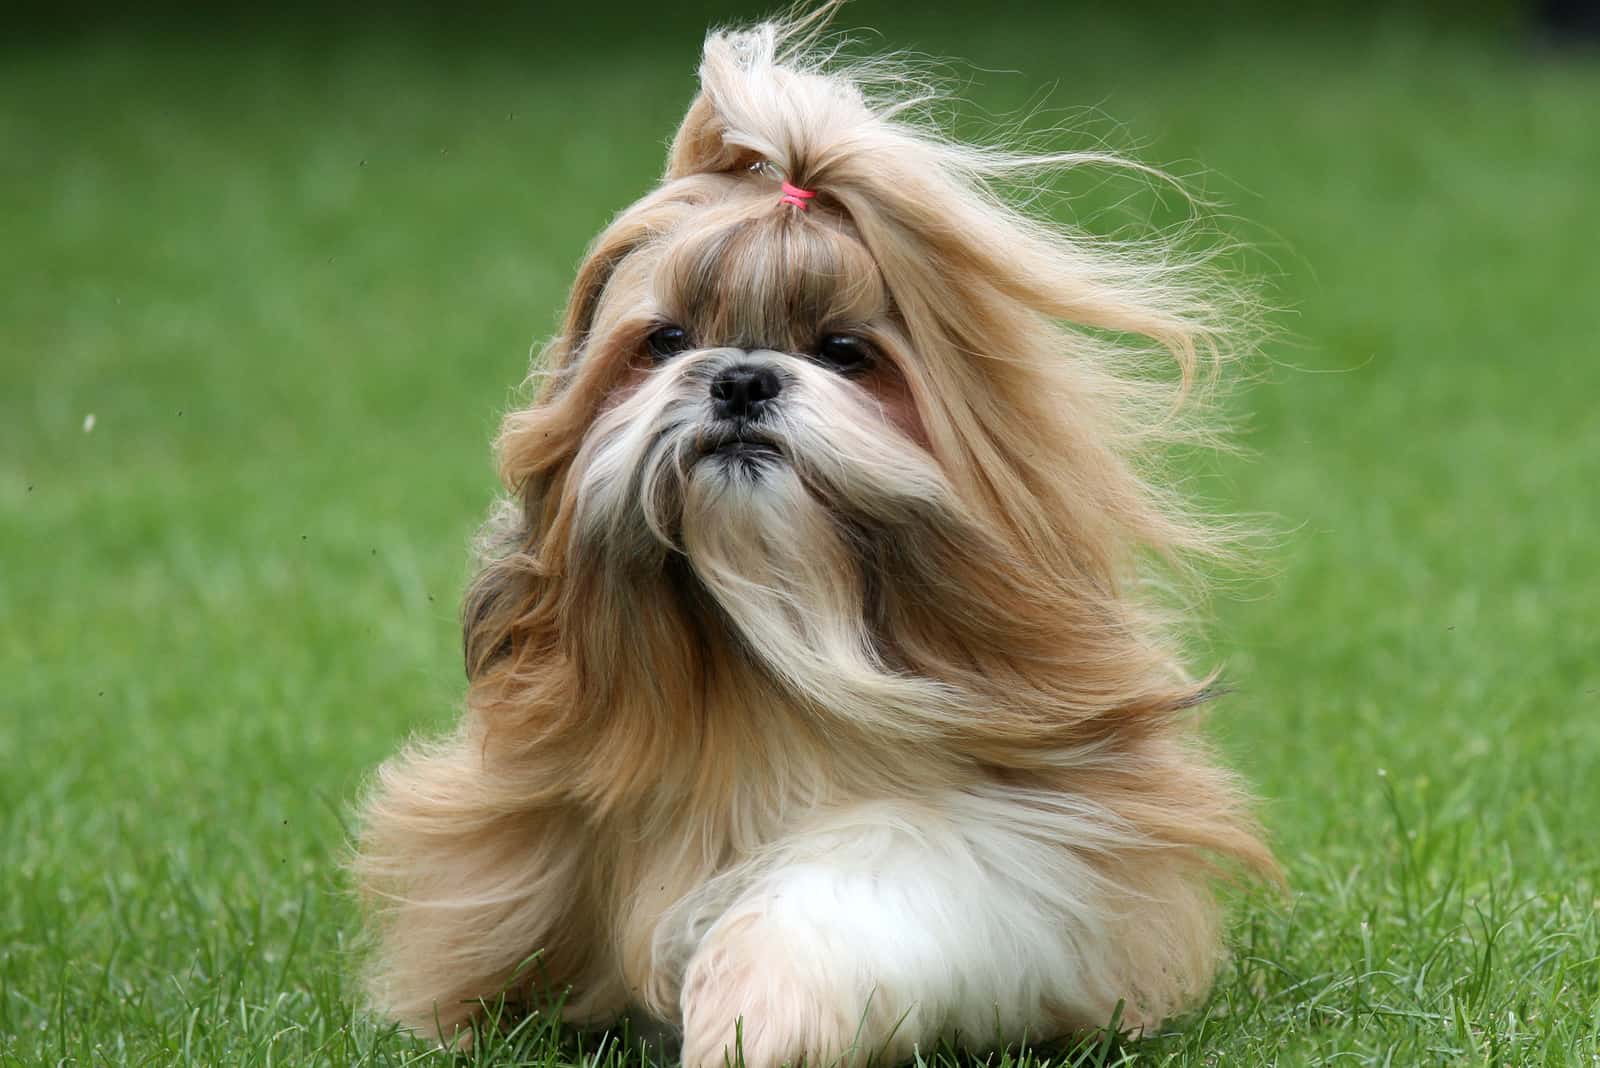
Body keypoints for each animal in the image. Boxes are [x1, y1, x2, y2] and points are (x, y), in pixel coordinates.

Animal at [353, 10, 1273, 1068]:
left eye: (844, 351)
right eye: (664, 341)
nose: (743, 379)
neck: (765, 658)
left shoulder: (1024, 834)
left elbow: (846, 890)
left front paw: (752, 1018)